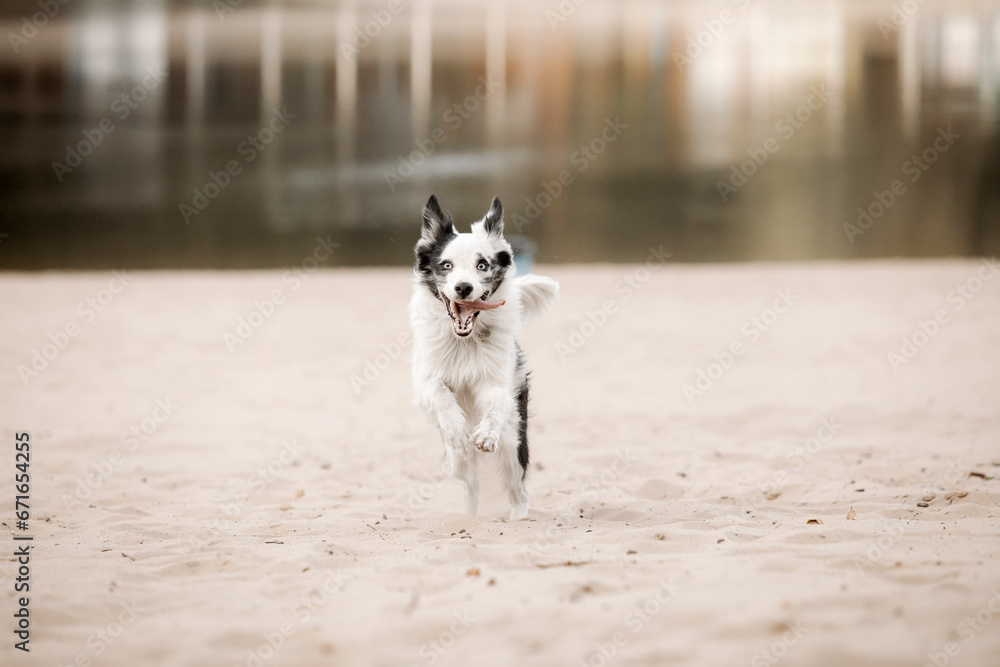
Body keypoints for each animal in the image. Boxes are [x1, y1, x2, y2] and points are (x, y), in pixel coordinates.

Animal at [410, 196, 560, 520]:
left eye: (482, 265)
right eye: (446, 265)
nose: (463, 287)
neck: (464, 341)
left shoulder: (498, 382)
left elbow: (493, 407)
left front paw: (484, 436)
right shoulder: (427, 379)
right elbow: (442, 396)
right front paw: (457, 432)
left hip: (514, 443)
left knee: (517, 489)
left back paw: (518, 518)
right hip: (463, 466)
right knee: (469, 480)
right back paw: (469, 513)